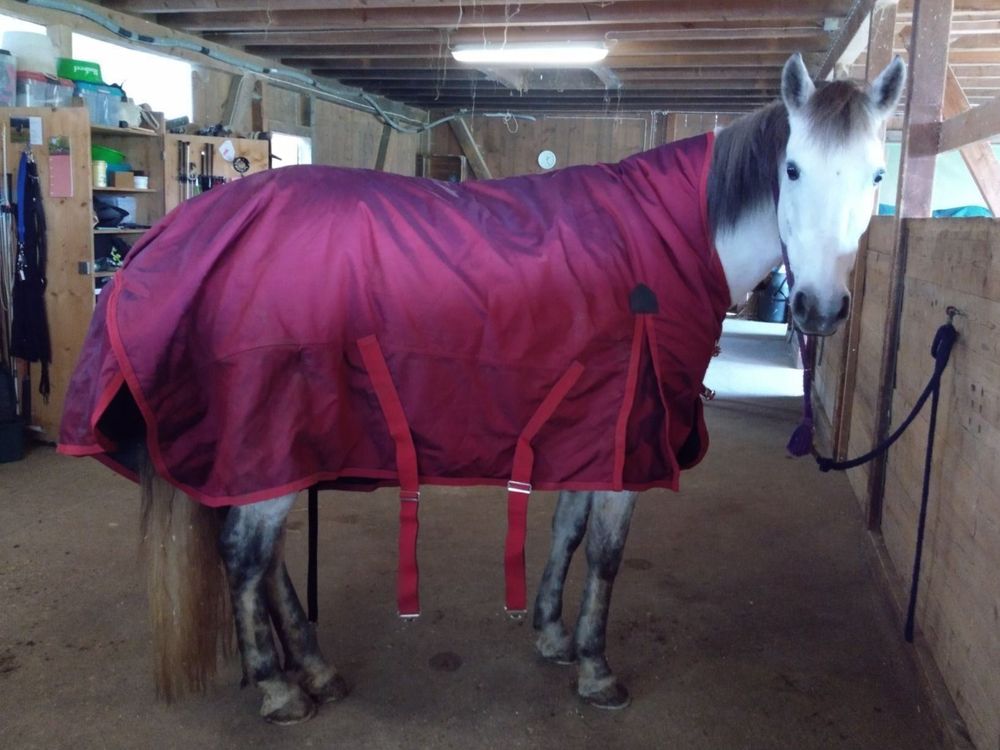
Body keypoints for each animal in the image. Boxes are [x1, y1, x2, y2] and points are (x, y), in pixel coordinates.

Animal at [58, 53, 905, 723]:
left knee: (261, 559)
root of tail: (171, 236)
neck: (671, 245)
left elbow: (566, 530)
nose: (819, 308)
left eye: (876, 174)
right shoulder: (629, 436)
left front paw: (553, 635)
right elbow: (606, 553)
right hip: (265, 438)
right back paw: (279, 688)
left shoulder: (593, 425)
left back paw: (316, 670)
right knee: (244, 554)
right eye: (792, 169)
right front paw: (597, 670)